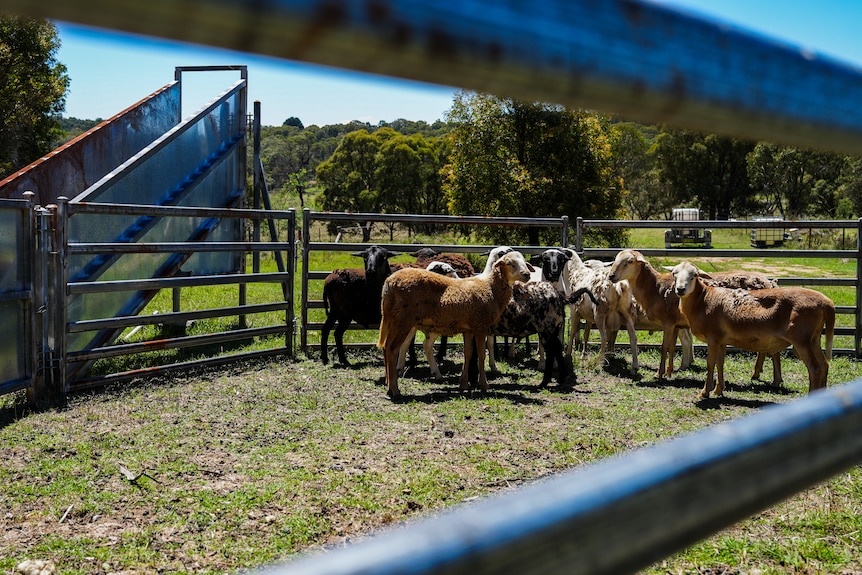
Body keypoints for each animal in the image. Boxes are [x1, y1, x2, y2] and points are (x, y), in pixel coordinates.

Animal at [377, 251, 534, 398]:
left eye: (524, 262)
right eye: (509, 263)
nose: (527, 274)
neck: (491, 288)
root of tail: (389, 283)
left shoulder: (469, 329)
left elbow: (468, 353)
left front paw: (463, 384)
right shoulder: (481, 326)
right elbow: (481, 355)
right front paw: (483, 384)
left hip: (393, 319)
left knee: (386, 347)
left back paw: (388, 384)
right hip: (403, 321)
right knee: (392, 349)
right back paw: (394, 389)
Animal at [671, 261, 835, 399]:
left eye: (694, 276)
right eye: (674, 274)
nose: (680, 289)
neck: (703, 300)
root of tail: (826, 302)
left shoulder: (713, 338)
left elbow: (710, 363)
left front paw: (705, 393)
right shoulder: (721, 340)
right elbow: (720, 363)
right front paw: (718, 390)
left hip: (802, 340)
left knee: (815, 368)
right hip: (814, 338)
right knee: (824, 365)